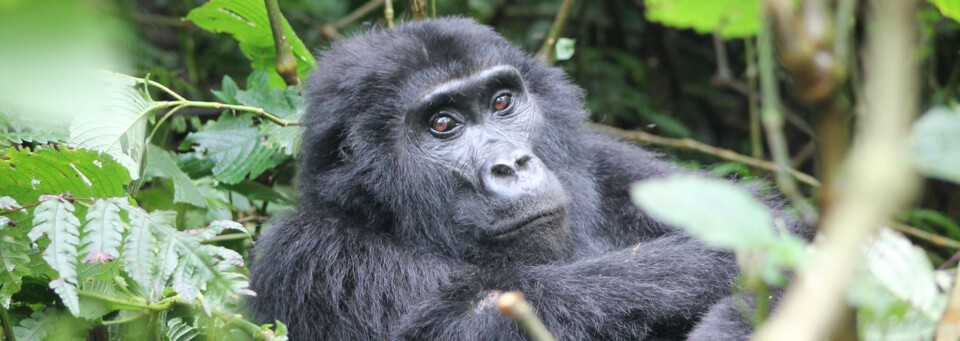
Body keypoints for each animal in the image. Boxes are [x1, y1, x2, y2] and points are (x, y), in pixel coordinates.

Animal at [249, 17, 780, 338]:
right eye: (443, 124)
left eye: (501, 102)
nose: (512, 164)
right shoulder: (306, 253)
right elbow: (467, 319)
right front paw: (715, 265)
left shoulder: (617, 169)